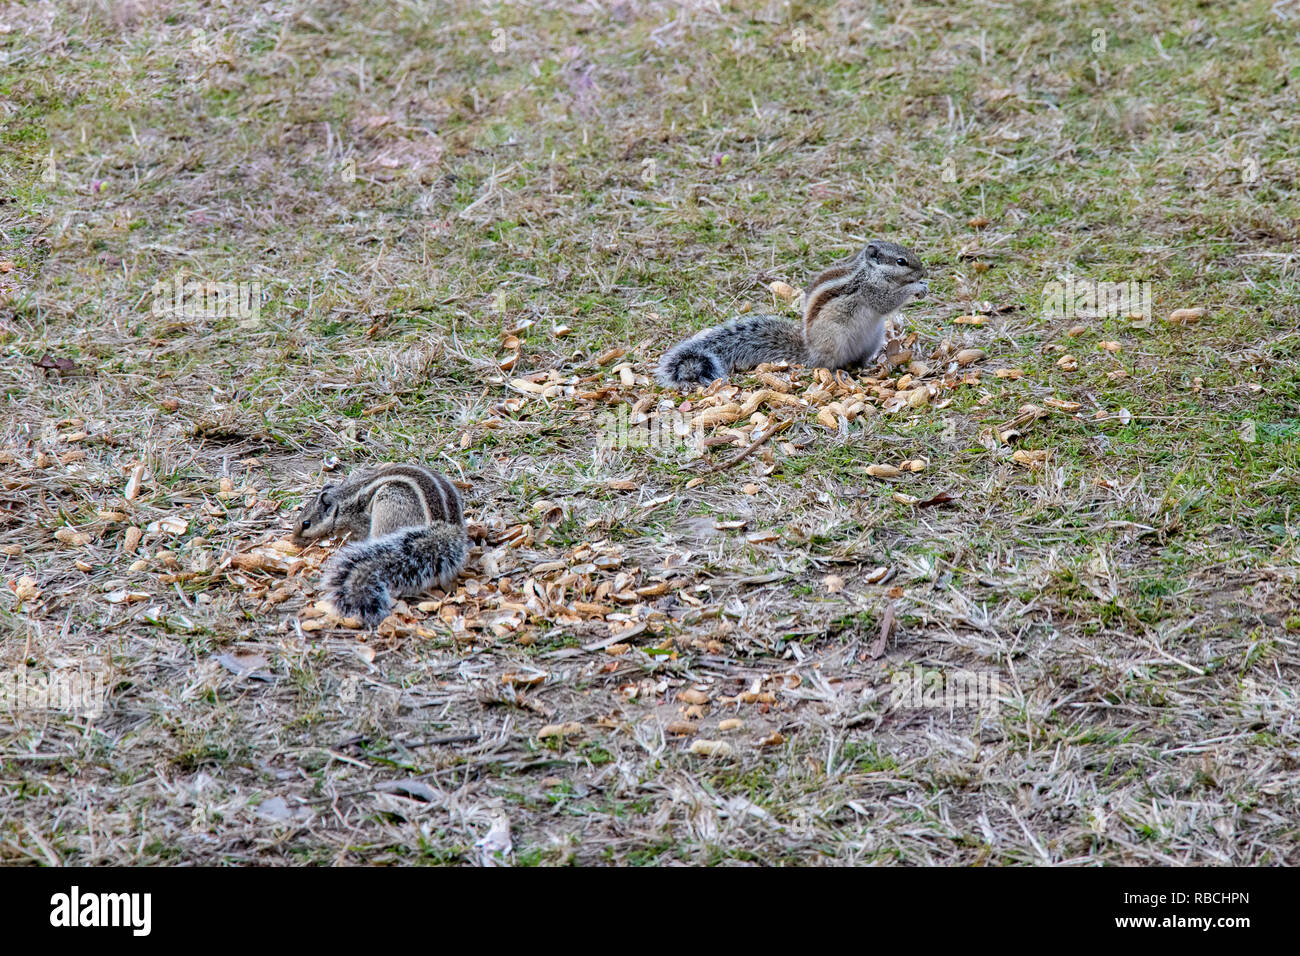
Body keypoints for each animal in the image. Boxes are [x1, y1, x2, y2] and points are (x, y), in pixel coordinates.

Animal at [292, 463, 469, 626]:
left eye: (306, 524)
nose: (294, 541)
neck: (343, 502)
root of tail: (446, 527)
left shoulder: (359, 523)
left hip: (389, 506)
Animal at [656, 240, 928, 388]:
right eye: (901, 261)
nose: (924, 272)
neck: (870, 272)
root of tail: (810, 351)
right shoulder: (872, 291)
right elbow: (886, 302)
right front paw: (915, 288)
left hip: (873, 339)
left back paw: (869, 366)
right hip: (834, 340)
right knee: (826, 364)